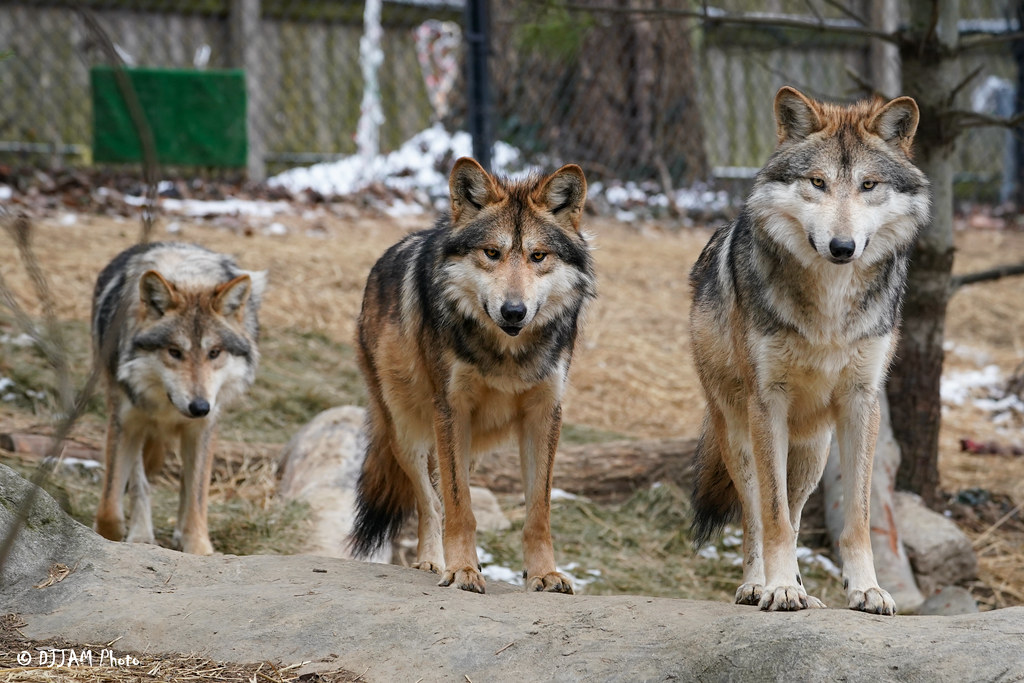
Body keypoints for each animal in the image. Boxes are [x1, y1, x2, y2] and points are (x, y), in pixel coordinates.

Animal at [92, 242, 266, 555]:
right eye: (175, 352)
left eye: (214, 353)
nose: (199, 407)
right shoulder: (124, 421)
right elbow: (111, 506)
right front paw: (112, 537)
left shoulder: (204, 427)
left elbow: (197, 498)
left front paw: (197, 546)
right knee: (140, 482)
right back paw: (141, 534)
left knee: (188, 484)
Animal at [349, 157, 595, 594]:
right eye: (492, 253)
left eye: (538, 256)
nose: (514, 311)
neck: (507, 354)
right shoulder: (451, 410)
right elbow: (457, 505)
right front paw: (462, 569)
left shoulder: (545, 414)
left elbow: (539, 511)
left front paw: (544, 574)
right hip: (407, 430)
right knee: (429, 502)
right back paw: (432, 561)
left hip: (470, 444)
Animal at [689, 87, 930, 614]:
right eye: (818, 182)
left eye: (868, 185)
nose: (842, 246)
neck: (831, 299)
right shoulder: (768, 402)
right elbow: (772, 517)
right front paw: (778, 588)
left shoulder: (862, 403)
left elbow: (857, 518)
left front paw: (866, 589)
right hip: (740, 435)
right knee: (757, 514)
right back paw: (759, 586)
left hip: (812, 456)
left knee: (797, 514)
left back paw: (802, 587)